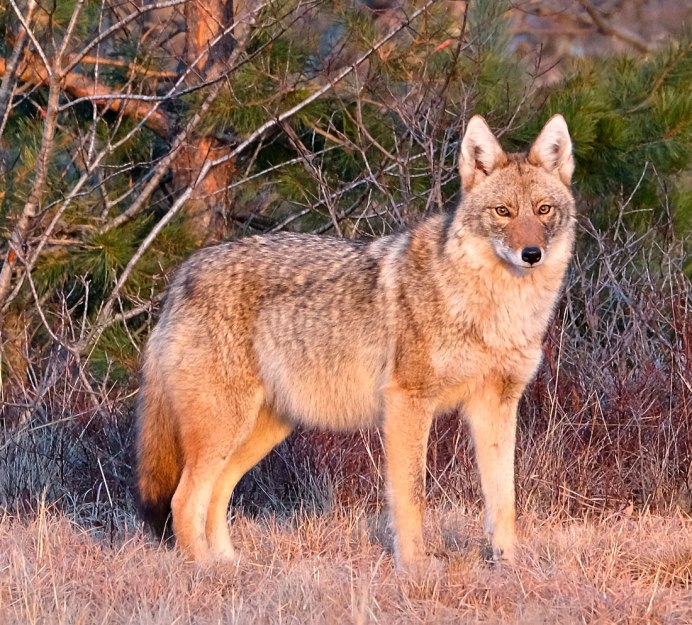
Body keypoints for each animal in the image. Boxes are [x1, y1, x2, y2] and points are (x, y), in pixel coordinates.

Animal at [137, 112, 580, 572]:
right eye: (503, 212)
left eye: (543, 210)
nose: (532, 254)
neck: (496, 309)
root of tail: (181, 276)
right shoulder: (408, 403)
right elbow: (411, 497)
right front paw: (415, 568)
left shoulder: (495, 405)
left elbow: (504, 499)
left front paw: (510, 565)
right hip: (226, 428)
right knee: (183, 501)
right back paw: (204, 570)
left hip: (261, 432)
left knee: (215, 496)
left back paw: (231, 564)